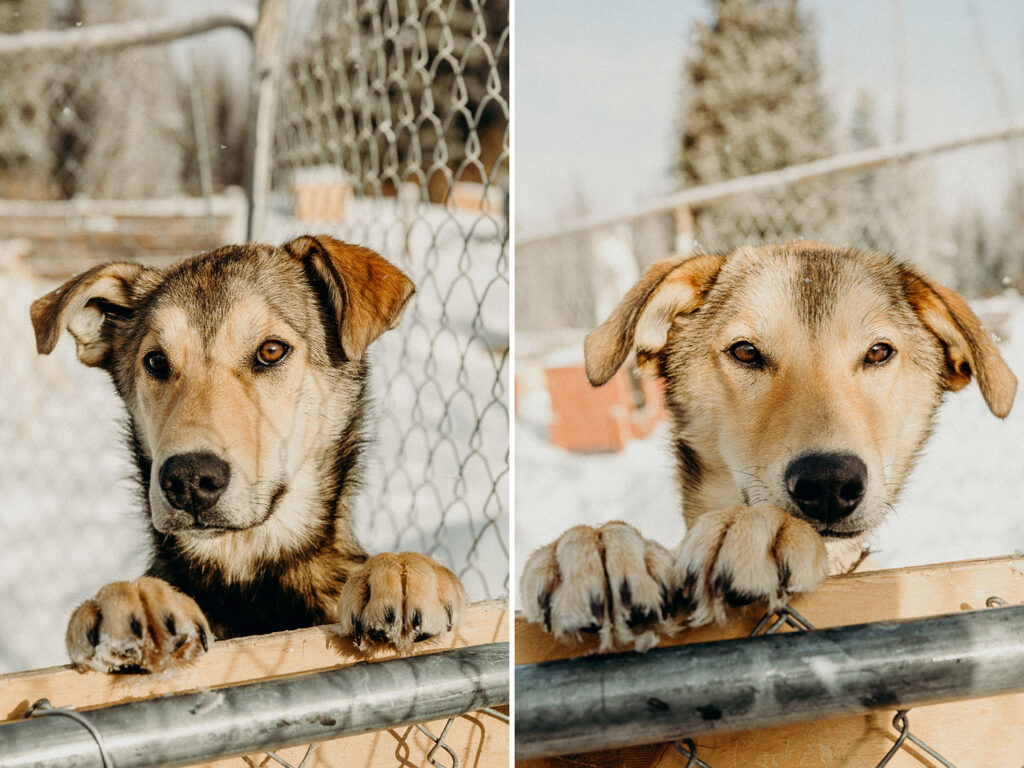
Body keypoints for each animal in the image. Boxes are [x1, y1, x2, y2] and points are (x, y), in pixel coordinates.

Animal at [29, 234, 466, 671]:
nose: (189, 479)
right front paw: (131, 598)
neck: (250, 576)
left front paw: (401, 570)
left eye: (271, 351)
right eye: (155, 361)